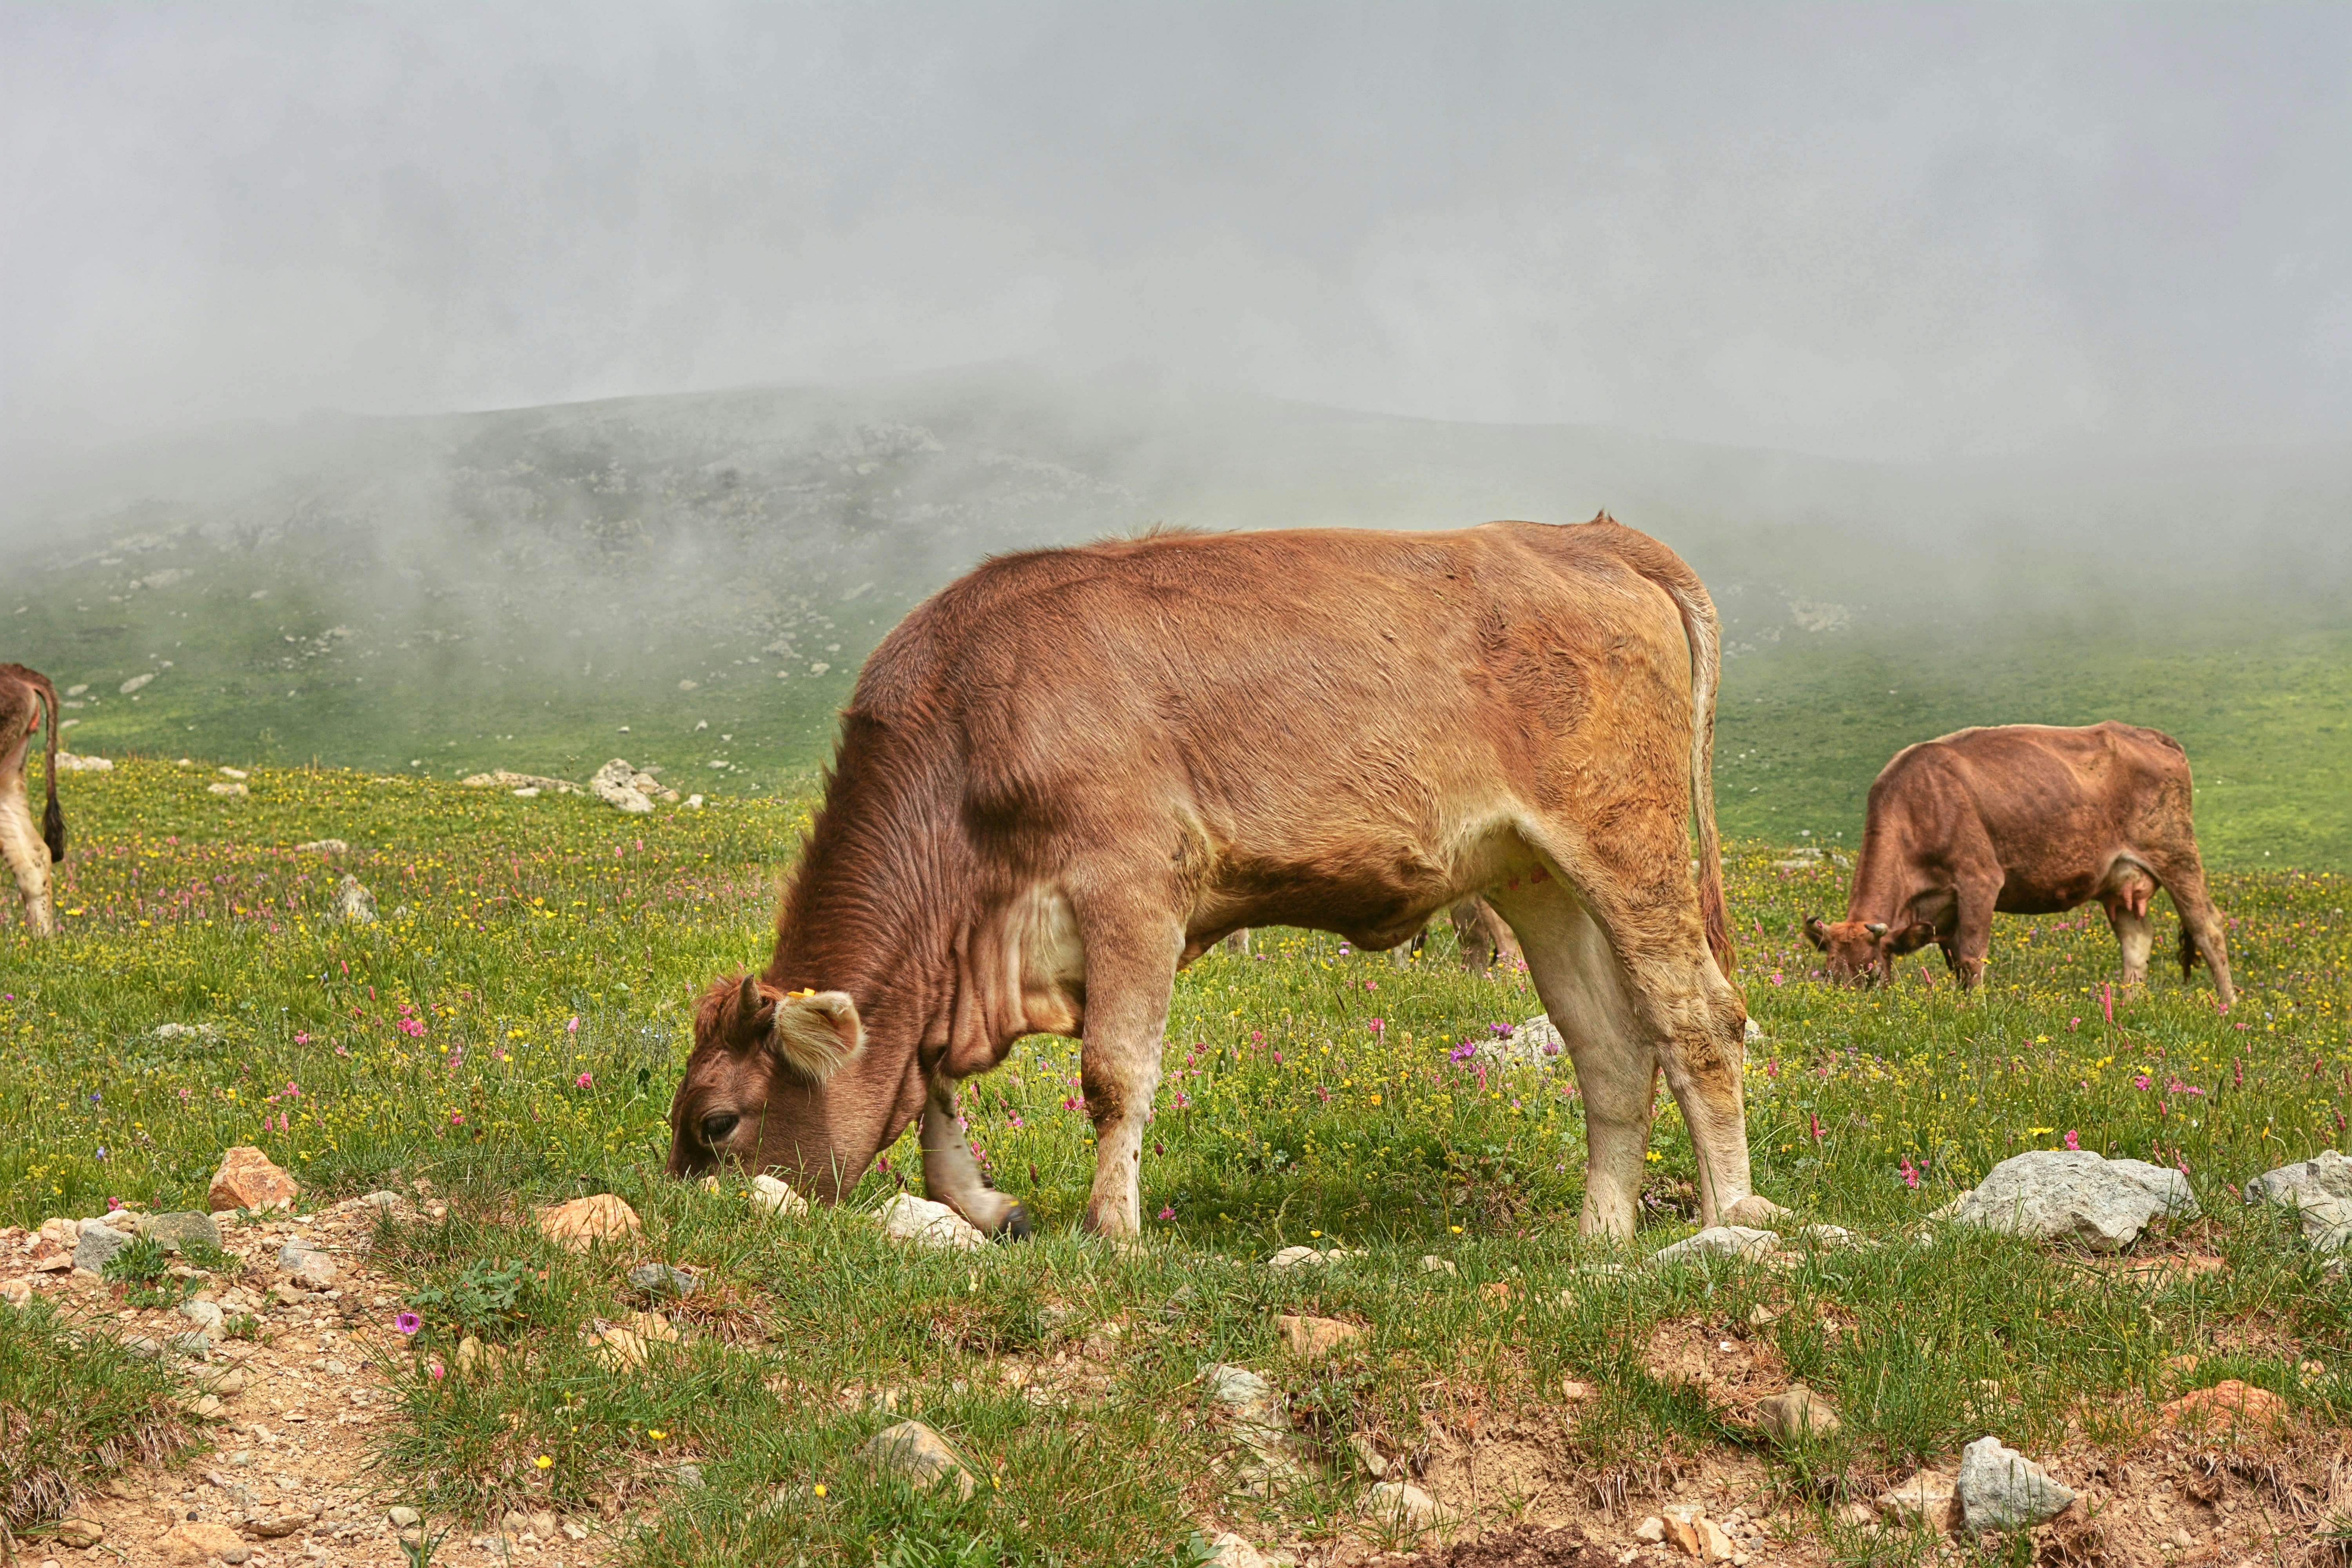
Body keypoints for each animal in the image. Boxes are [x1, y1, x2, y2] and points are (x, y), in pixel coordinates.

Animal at [667, 516, 1769, 1240]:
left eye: (718, 1123)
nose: (686, 1224)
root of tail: (1589, 534)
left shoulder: (1131, 888)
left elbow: (1113, 1073)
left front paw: (1112, 1230)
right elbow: (928, 1077)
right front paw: (985, 1202)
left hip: (1626, 843)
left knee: (1697, 1018)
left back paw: (1729, 1226)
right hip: (1536, 878)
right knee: (1609, 1049)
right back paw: (1600, 1240)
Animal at [1803, 722, 2234, 1007]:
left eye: (1873, 974)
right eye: (1829, 975)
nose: (1846, 1011)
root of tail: (2153, 735)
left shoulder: (1979, 879)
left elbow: (1972, 956)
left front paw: (1974, 1009)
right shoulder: (1943, 914)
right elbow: (1957, 963)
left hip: (2177, 854)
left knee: (2208, 928)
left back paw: (2229, 1007)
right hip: (2119, 879)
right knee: (2137, 937)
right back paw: (2128, 1006)